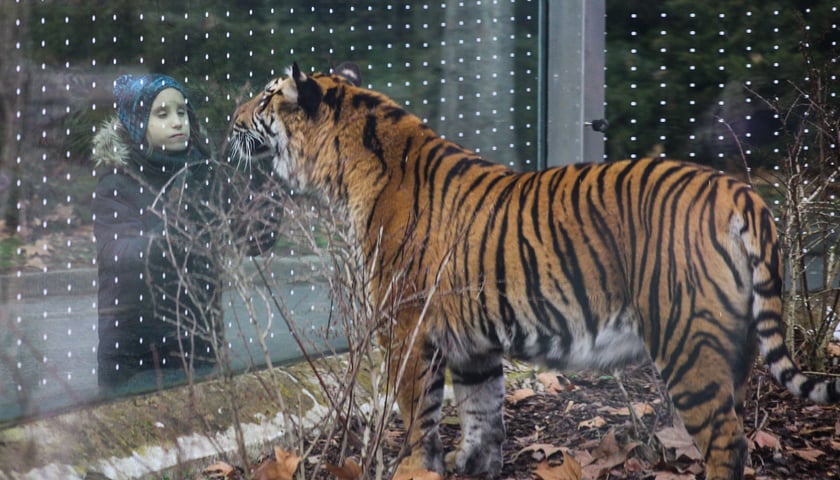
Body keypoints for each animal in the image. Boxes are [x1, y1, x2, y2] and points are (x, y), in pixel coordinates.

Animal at [231, 62, 840, 478]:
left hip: (687, 340)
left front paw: (415, 469)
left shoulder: (406, 326)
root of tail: (742, 192)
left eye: (264, 97)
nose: (229, 121)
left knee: (726, 441)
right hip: (732, 347)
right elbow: (481, 415)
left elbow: (416, 411)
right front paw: (473, 467)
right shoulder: (472, 341)